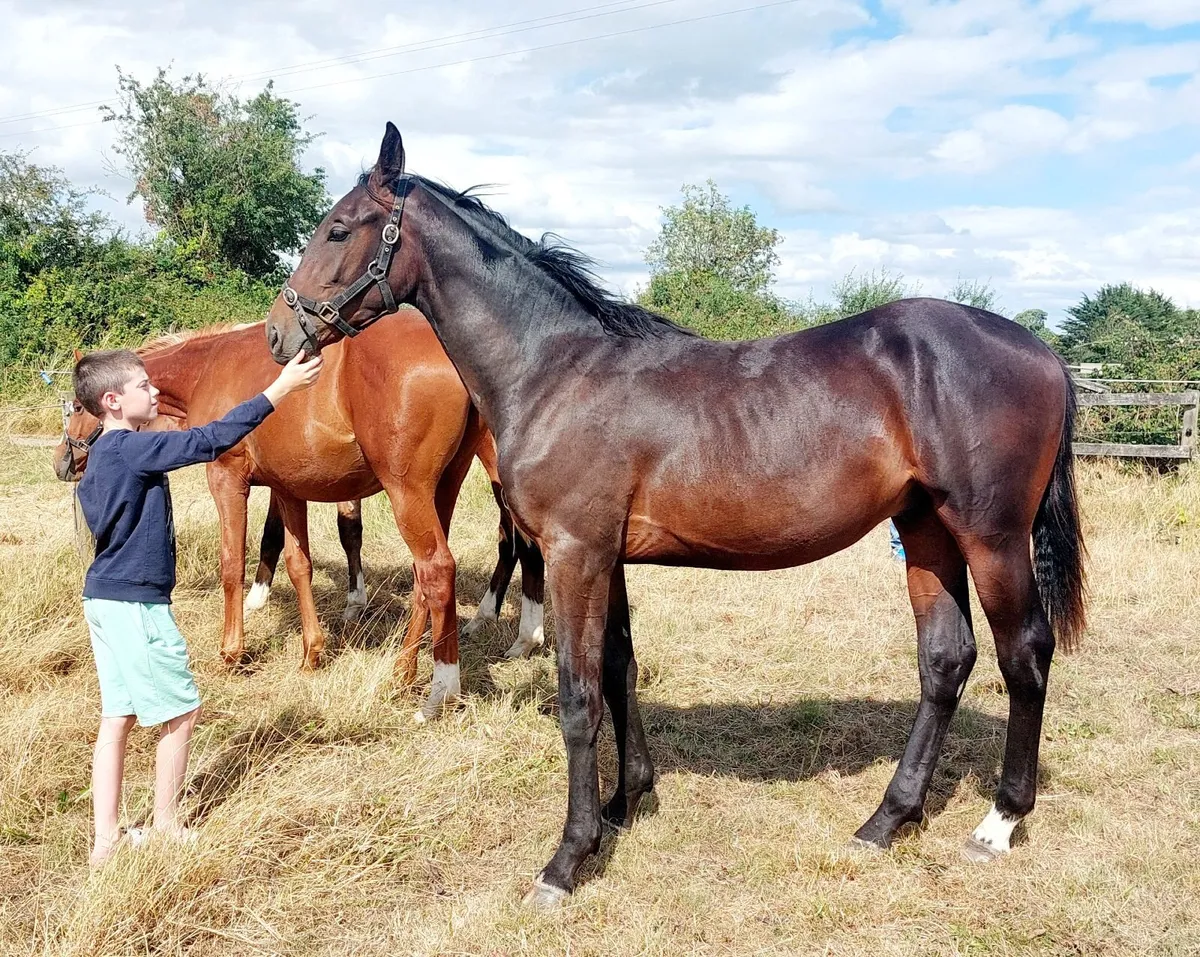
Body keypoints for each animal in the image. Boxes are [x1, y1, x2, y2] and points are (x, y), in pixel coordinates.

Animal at [55, 313, 547, 718]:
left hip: (412, 491)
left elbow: (233, 563)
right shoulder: (288, 488)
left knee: (448, 565)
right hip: (444, 487)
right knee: (431, 575)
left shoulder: (227, 478)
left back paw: (434, 674)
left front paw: (231, 651)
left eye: (77, 406)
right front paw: (312, 653)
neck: (210, 370)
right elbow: (297, 564)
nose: (63, 462)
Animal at [265, 123, 1086, 907]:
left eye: (340, 228)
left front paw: (568, 859)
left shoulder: (574, 552)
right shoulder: (605, 556)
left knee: (1024, 654)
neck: (555, 370)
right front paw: (624, 804)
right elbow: (618, 670)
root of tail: (1042, 352)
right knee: (945, 659)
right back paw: (886, 820)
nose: (280, 332)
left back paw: (999, 821)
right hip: (924, 533)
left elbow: (578, 696)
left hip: (991, 537)